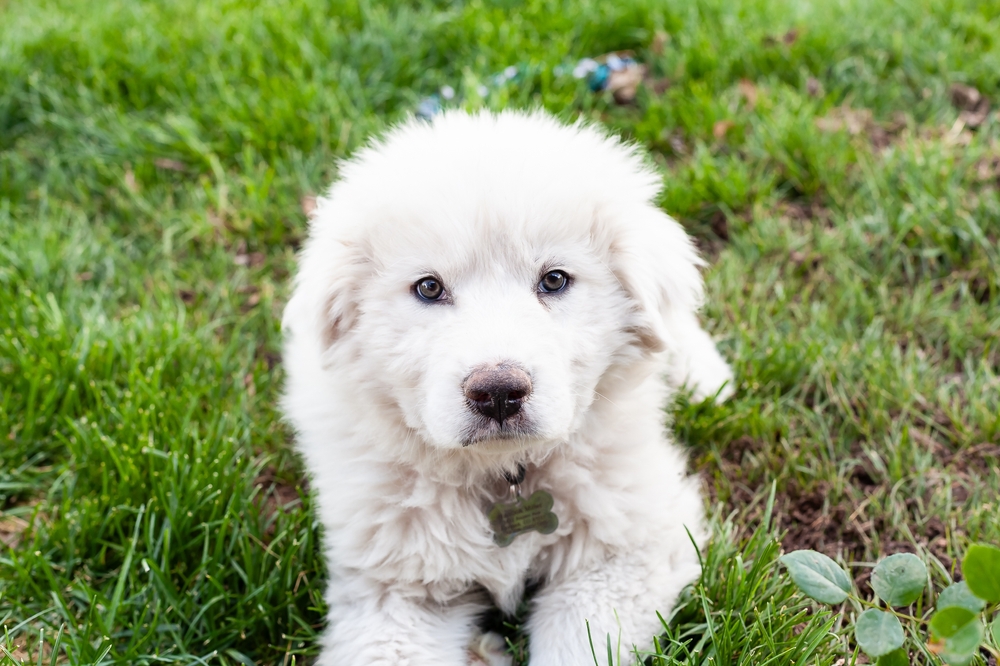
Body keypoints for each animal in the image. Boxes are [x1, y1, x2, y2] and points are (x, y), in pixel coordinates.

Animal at [282, 111, 736, 660]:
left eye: (555, 280)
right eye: (428, 288)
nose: (498, 392)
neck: (503, 474)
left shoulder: (630, 546)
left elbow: (576, 649)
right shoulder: (392, 590)